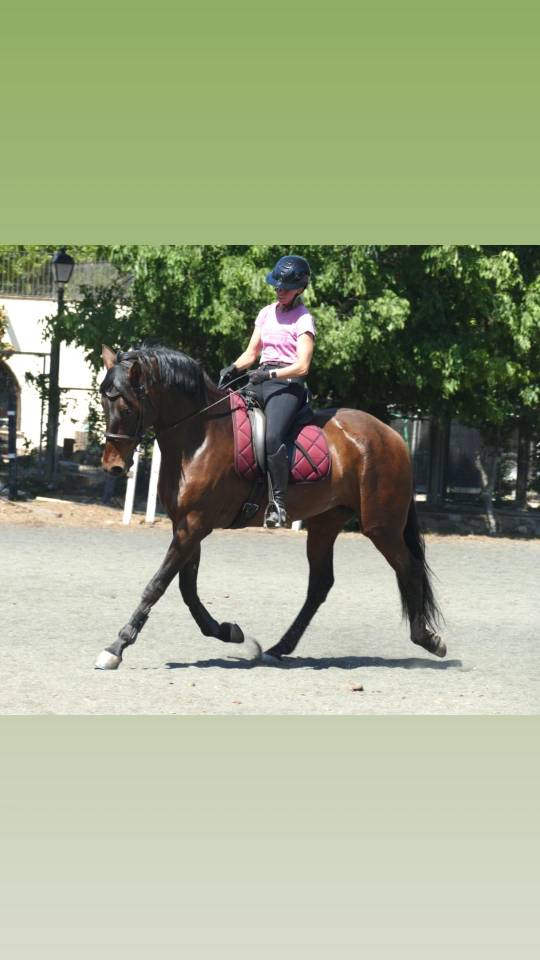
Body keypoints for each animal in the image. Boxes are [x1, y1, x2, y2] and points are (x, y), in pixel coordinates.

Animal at [95, 344, 445, 670]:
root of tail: (391, 435)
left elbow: (158, 585)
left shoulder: (194, 524)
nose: (113, 466)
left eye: (126, 405)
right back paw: (280, 648)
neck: (199, 436)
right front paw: (229, 632)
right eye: (103, 402)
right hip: (326, 523)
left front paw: (116, 647)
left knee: (409, 567)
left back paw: (428, 640)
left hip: (381, 527)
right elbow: (186, 588)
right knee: (321, 584)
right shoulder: (185, 524)